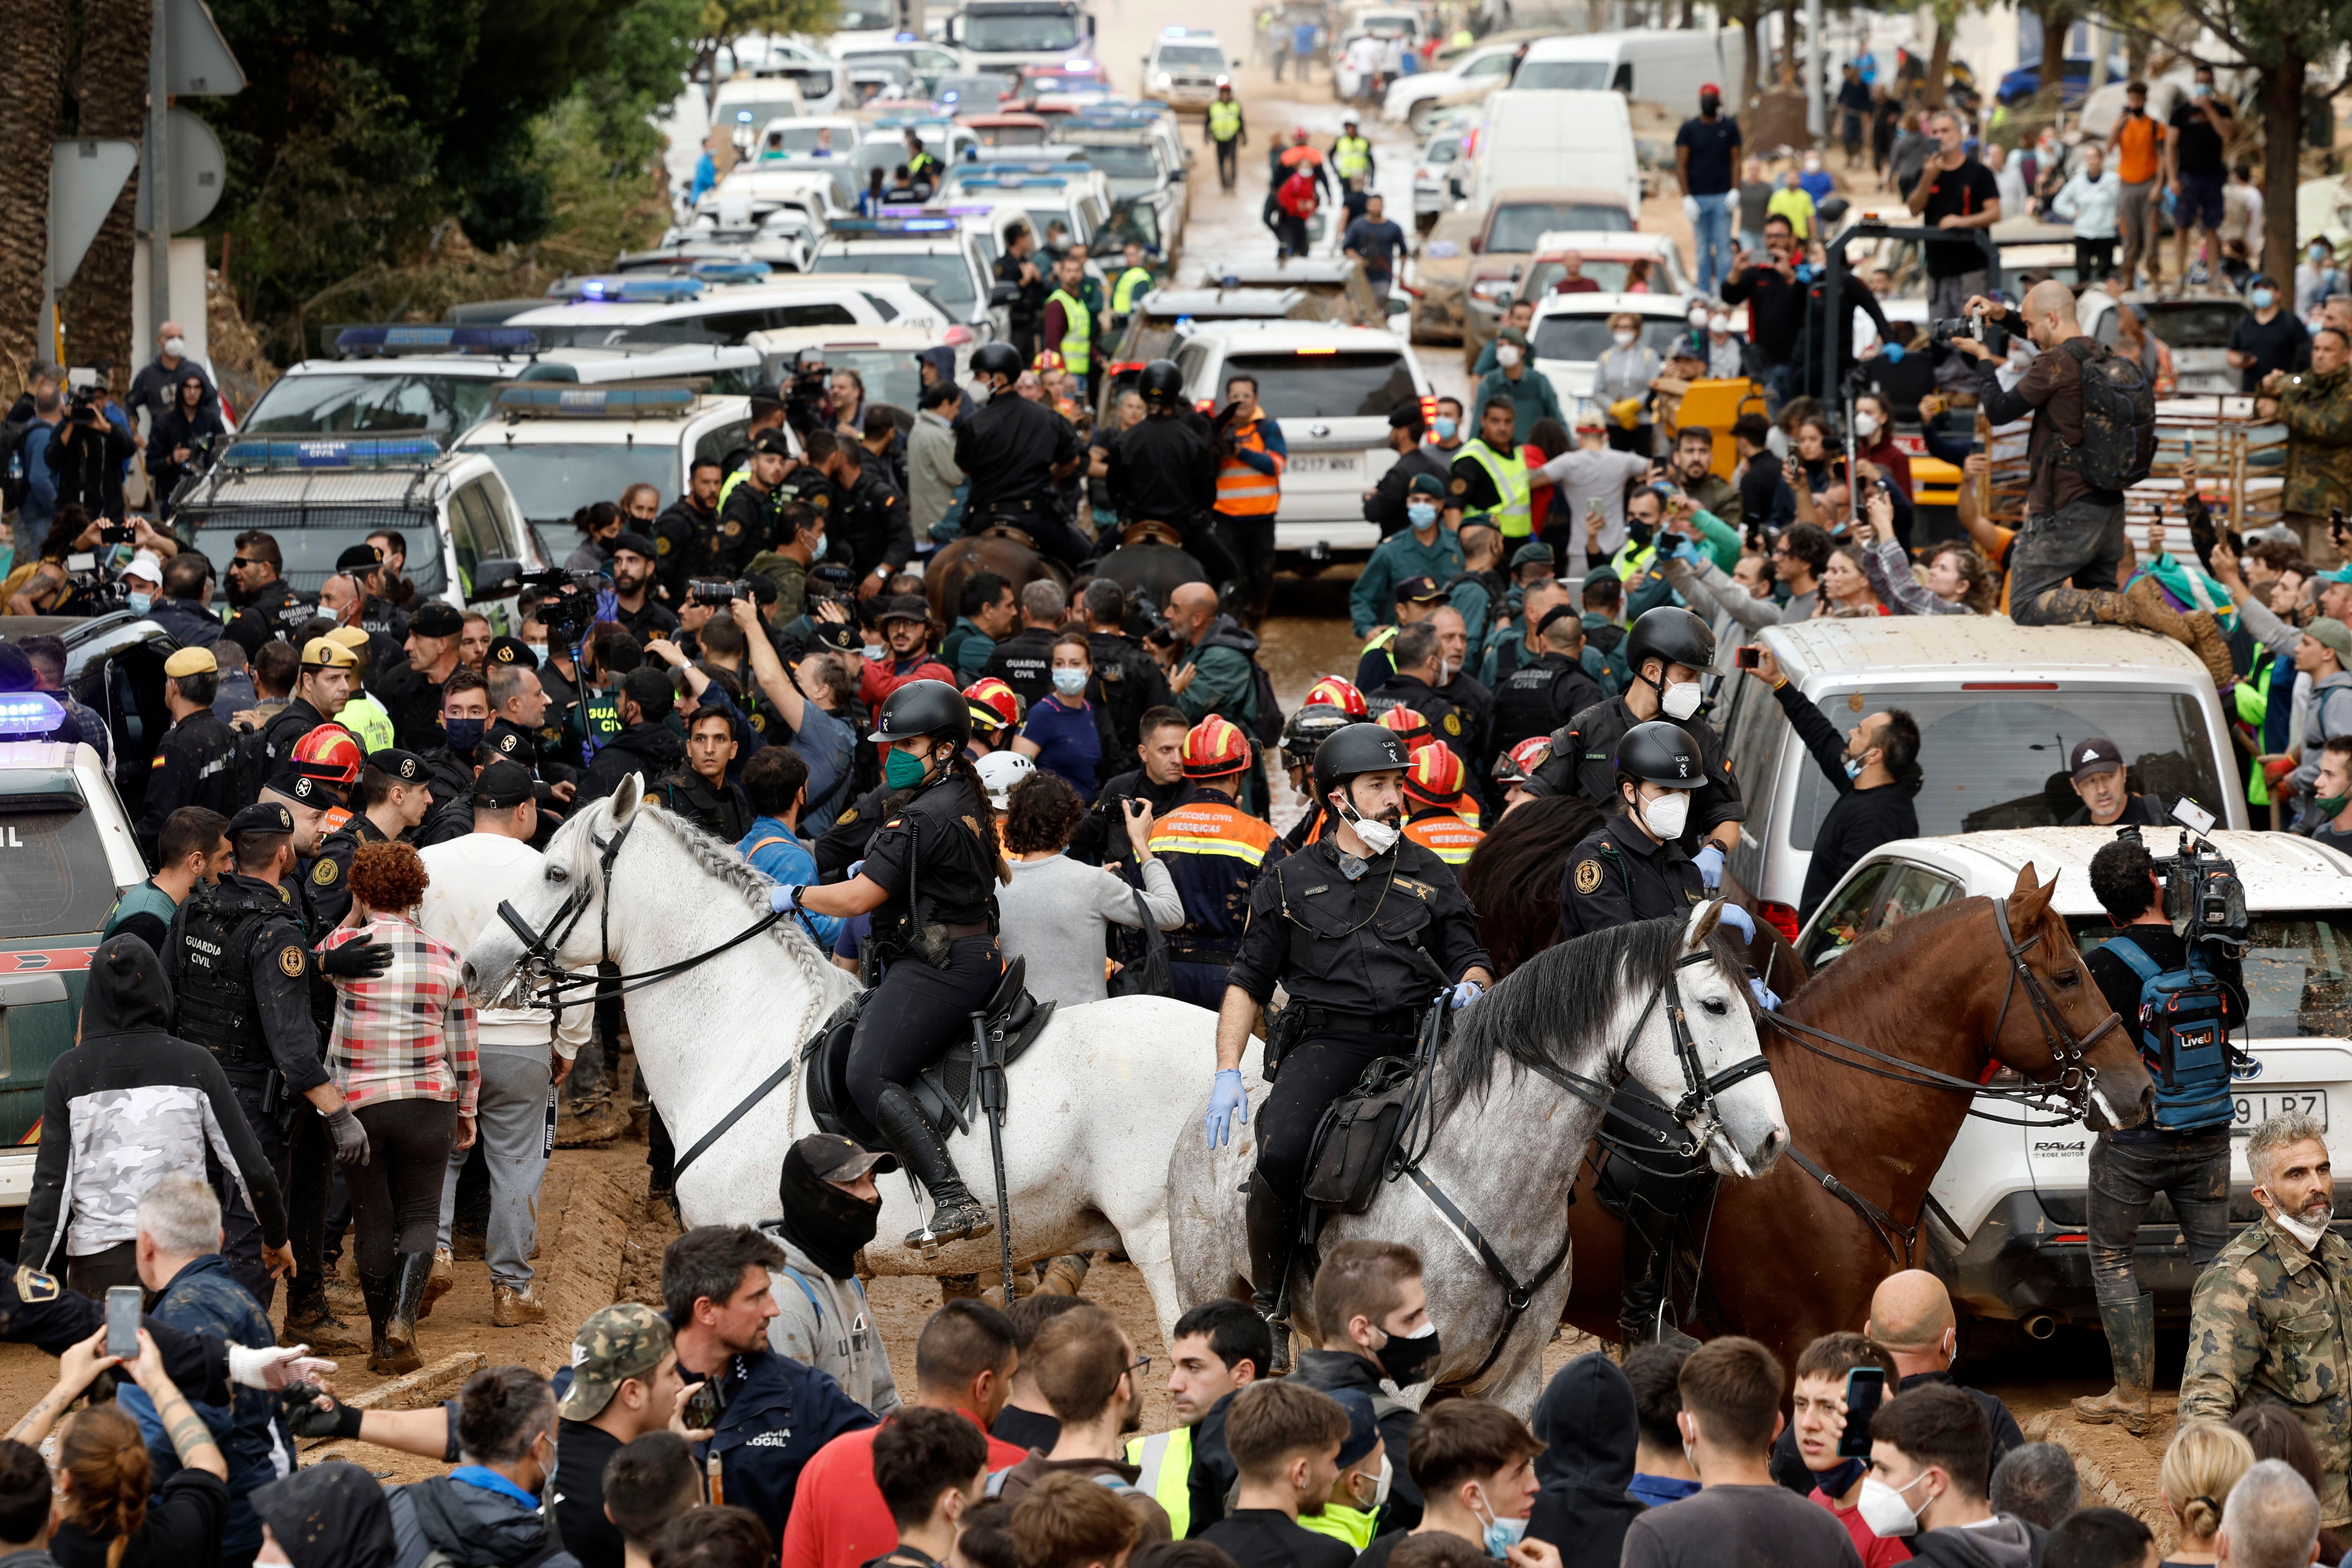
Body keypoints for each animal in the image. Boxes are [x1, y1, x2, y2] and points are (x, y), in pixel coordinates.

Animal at [1166, 902, 1787, 1420]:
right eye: (1715, 1005)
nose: (1774, 1139)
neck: (1494, 1190)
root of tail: (1210, 1108)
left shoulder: (1512, 1385)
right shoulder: (1401, 1382)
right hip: (1210, 1297)